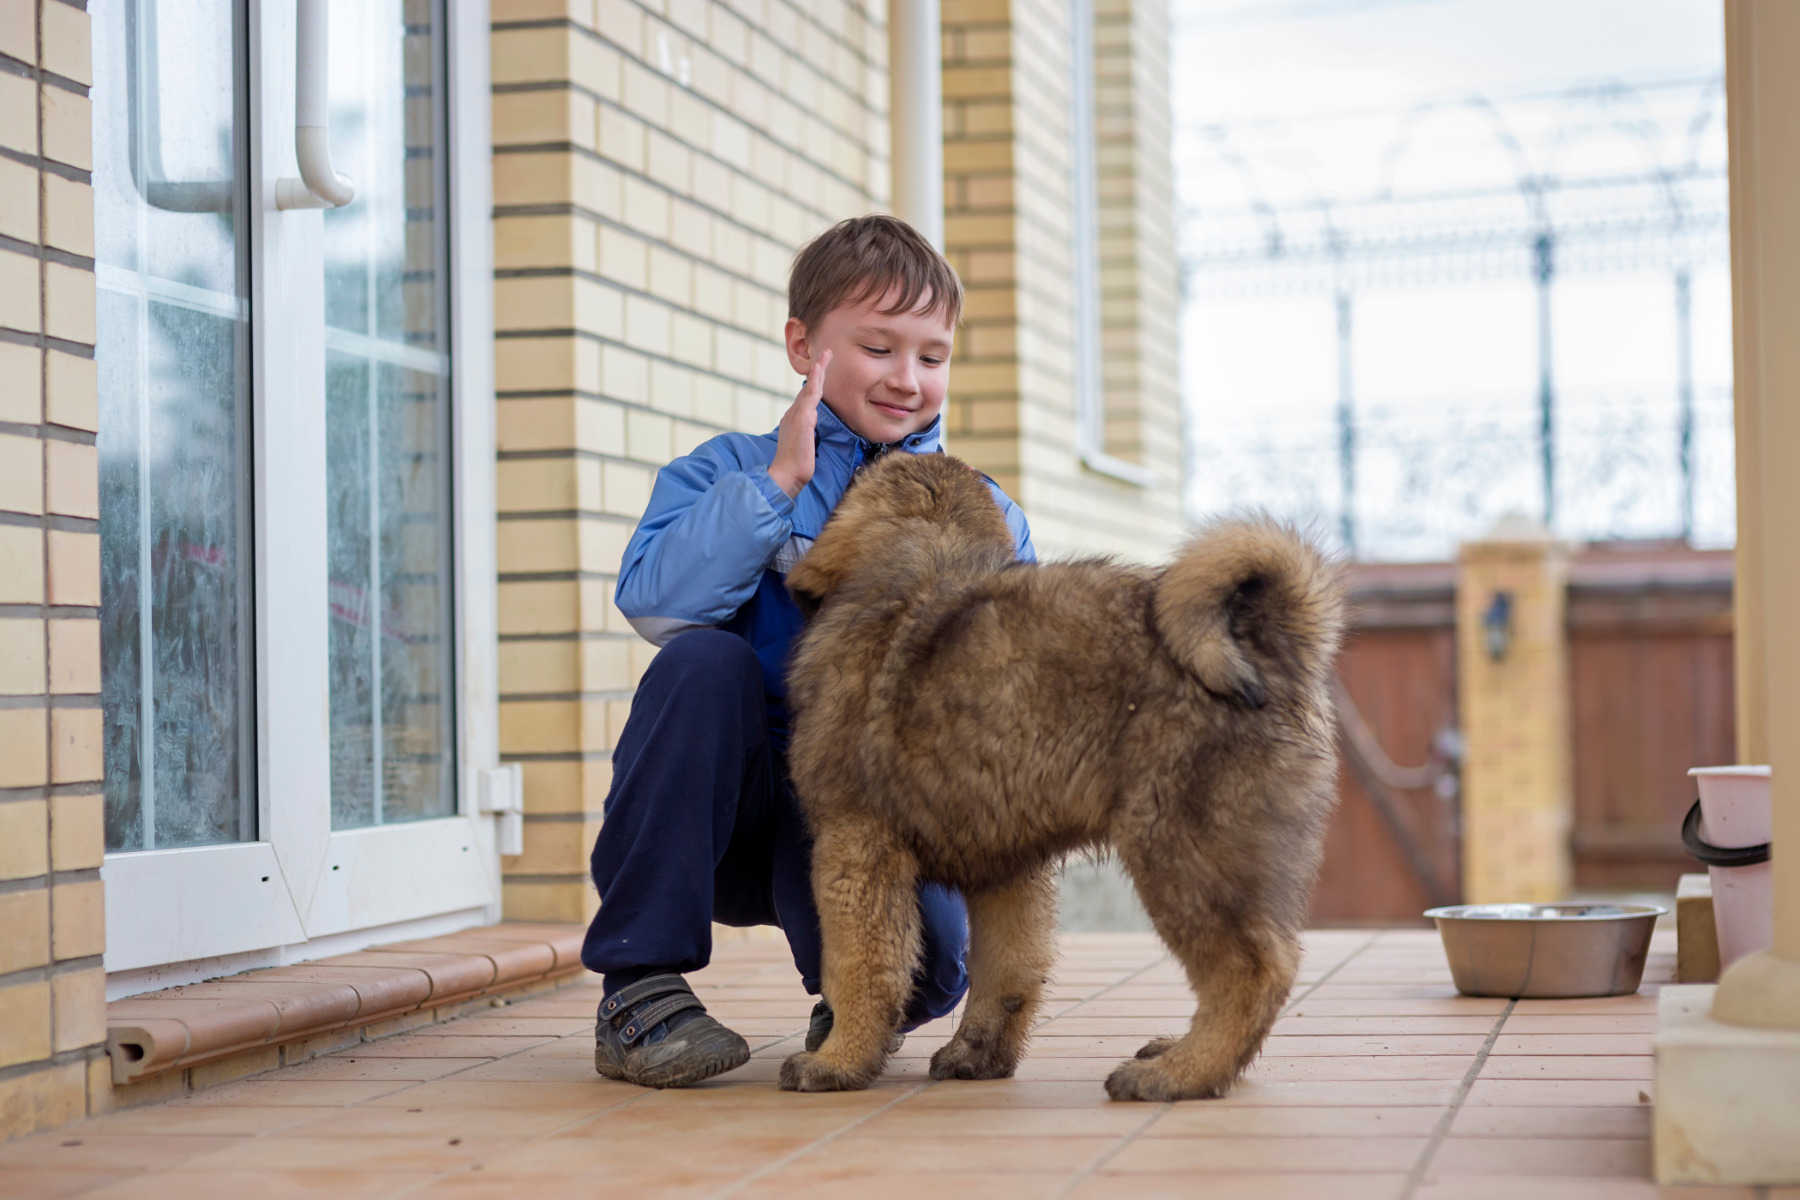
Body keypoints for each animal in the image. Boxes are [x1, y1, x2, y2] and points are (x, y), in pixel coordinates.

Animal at [781, 453, 1346, 1108]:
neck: (919, 564)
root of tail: (1267, 637)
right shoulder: (1006, 863)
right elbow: (1009, 966)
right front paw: (977, 1054)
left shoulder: (854, 845)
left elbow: (856, 966)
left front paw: (835, 1061)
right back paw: (1178, 1053)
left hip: (1185, 850)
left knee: (1253, 968)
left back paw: (1178, 1074)